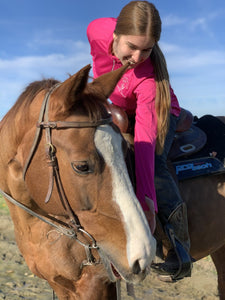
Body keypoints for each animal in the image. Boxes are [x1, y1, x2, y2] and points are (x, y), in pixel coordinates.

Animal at [0, 63, 156, 300]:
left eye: (126, 152)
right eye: (81, 166)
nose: (143, 255)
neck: (38, 230)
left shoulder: (96, 286)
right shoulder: (59, 285)